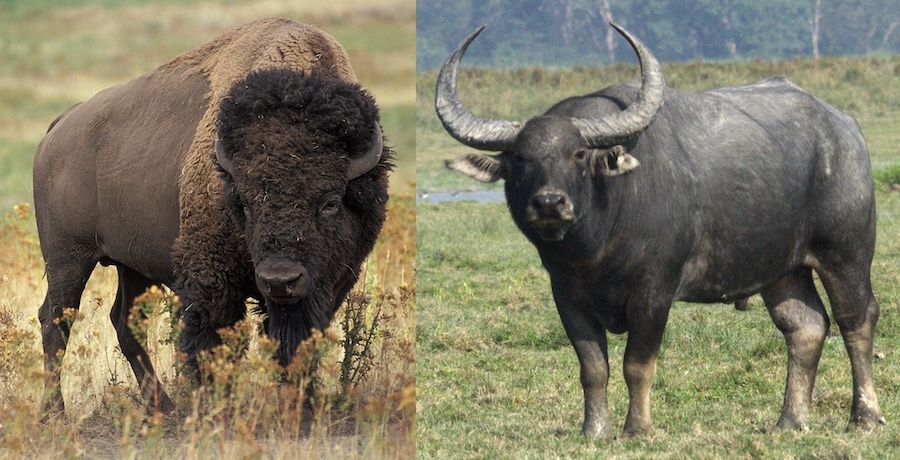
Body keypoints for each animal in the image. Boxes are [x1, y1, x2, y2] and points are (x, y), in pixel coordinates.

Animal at [34, 18, 391, 416]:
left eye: (330, 202)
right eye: (245, 203)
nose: (279, 280)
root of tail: (60, 126)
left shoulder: (329, 285)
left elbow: (297, 344)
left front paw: (302, 408)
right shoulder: (212, 281)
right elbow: (213, 345)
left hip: (131, 266)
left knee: (124, 321)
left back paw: (163, 409)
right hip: (68, 259)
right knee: (55, 320)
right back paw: (55, 413)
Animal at [437, 24, 884, 438]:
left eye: (578, 154)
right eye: (518, 158)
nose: (549, 202)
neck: (596, 250)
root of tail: (845, 129)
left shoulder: (655, 290)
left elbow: (637, 364)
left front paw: (637, 428)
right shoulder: (566, 294)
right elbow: (592, 367)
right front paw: (594, 429)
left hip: (845, 252)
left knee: (856, 320)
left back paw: (864, 417)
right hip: (783, 269)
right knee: (805, 327)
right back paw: (790, 421)